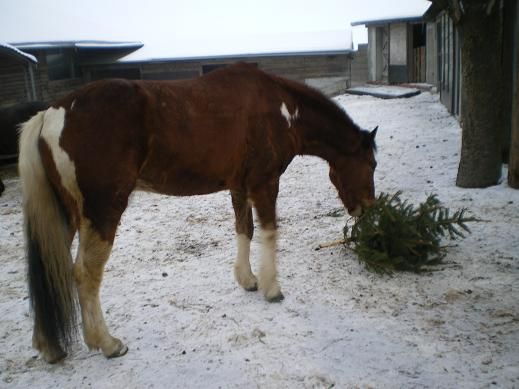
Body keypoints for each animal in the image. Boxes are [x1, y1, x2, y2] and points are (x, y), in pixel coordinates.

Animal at [18, 62, 378, 362]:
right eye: (372, 163)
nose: (368, 209)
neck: (281, 109)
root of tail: (50, 115)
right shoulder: (265, 183)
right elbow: (269, 232)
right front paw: (272, 288)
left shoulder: (239, 186)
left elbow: (244, 230)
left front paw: (248, 280)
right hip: (102, 212)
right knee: (85, 274)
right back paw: (107, 343)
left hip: (66, 216)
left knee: (52, 267)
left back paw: (49, 347)